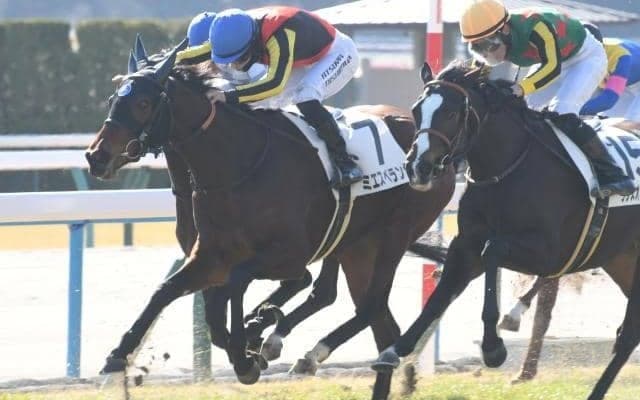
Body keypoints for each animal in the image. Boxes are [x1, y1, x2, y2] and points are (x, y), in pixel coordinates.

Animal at [85, 41, 455, 384]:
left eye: (143, 103)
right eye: (112, 99)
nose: (96, 155)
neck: (238, 164)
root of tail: (439, 150)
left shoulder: (290, 255)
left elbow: (237, 285)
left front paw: (246, 352)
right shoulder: (209, 257)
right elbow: (168, 293)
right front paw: (117, 355)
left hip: (394, 233)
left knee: (367, 305)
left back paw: (297, 348)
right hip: (356, 248)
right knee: (377, 320)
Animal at [369, 60, 640, 400]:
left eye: (451, 113)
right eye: (417, 110)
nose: (418, 167)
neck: (506, 168)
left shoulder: (551, 253)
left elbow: (493, 251)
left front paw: (493, 347)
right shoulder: (465, 244)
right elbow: (440, 296)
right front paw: (396, 350)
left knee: (628, 334)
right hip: (623, 260)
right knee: (630, 333)